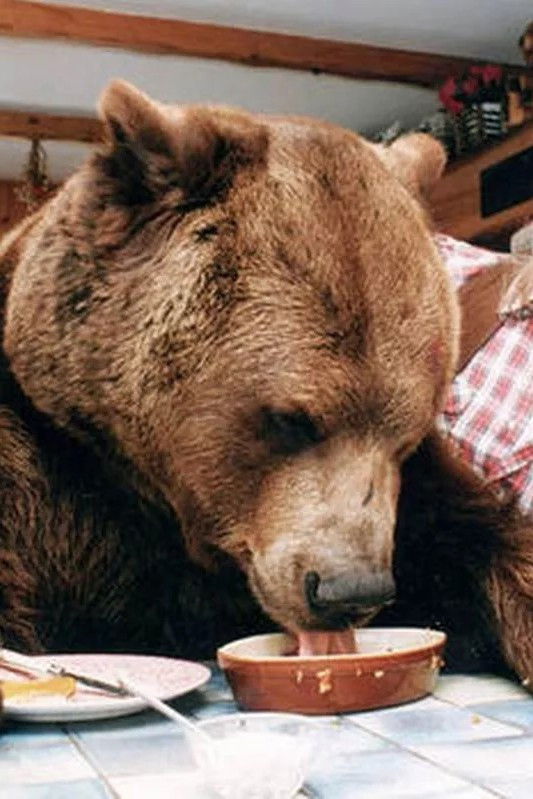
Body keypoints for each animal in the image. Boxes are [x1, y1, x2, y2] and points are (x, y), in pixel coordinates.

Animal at [0, 81, 531, 684]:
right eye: (292, 421)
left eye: (406, 437)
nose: (351, 591)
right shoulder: (44, 469)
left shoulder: (416, 497)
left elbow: (478, 538)